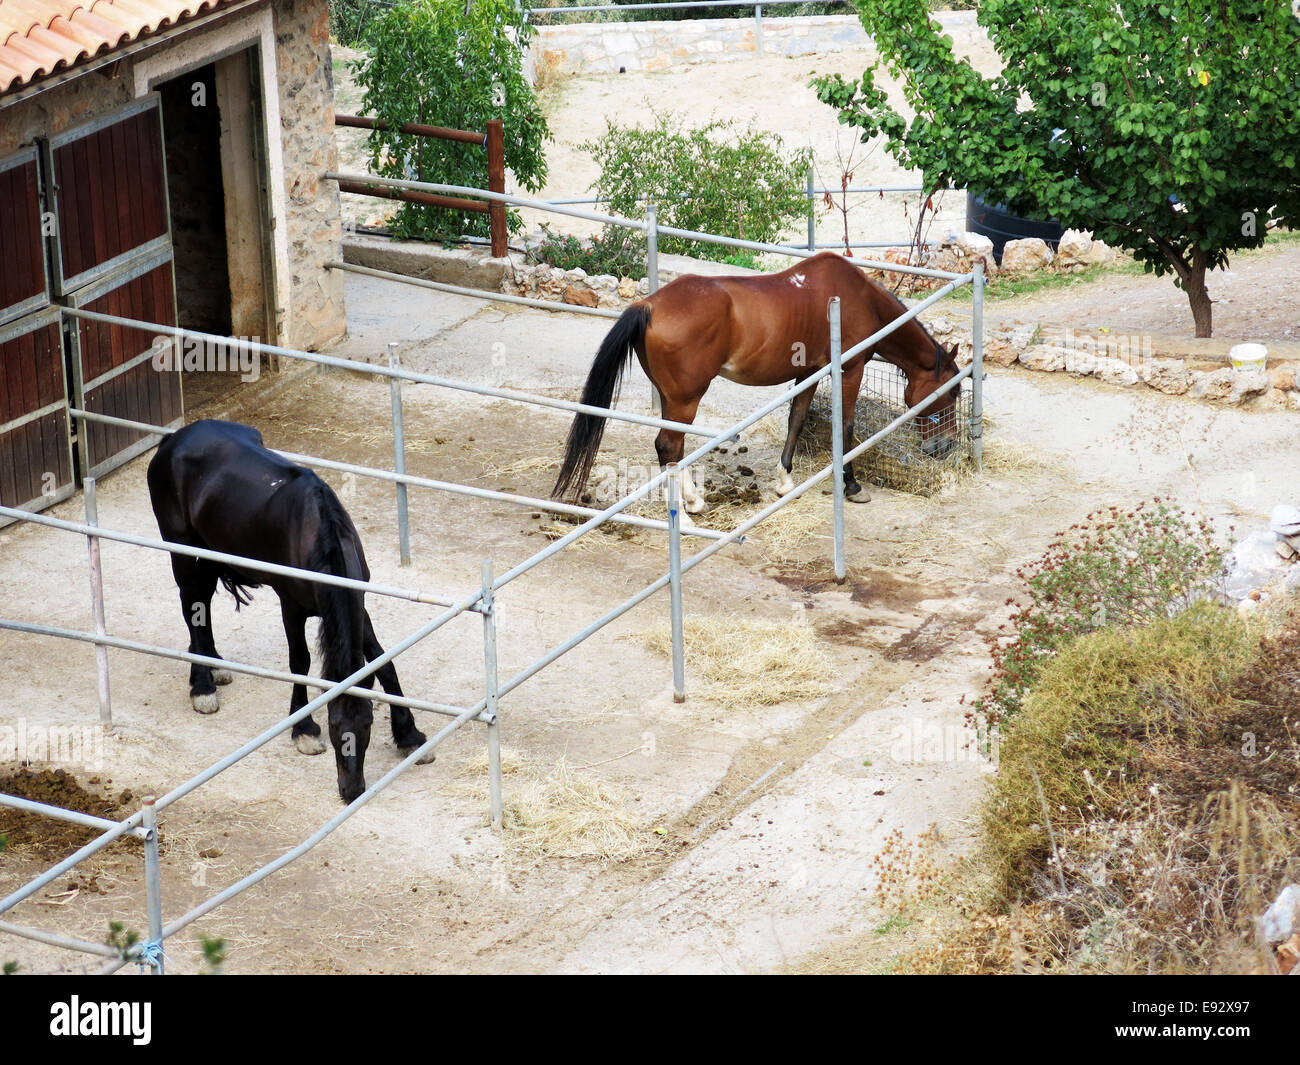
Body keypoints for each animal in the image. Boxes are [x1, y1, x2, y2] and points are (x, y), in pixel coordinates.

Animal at [146, 419, 432, 803]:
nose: (351, 790)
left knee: (201, 608)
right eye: (333, 725)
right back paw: (202, 686)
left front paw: (409, 735)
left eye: (368, 724)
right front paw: (303, 729)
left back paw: (213, 665)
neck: (319, 536)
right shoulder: (291, 607)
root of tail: (174, 439)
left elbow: (383, 662)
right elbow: (300, 662)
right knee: (193, 607)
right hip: (184, 553)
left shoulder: (359, 606)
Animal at [552, 251, 961, 515]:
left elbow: (796, 420)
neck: (859, 299)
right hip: (685, 400)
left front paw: (784, 481)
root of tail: (648, 306)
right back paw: (691, 505)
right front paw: (852, 486)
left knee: (671, 448)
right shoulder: (850, 370)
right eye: (952, 393)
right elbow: (845, 426)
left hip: (671, 398)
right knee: (668, 446)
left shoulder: (807, 373)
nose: (945, 447)